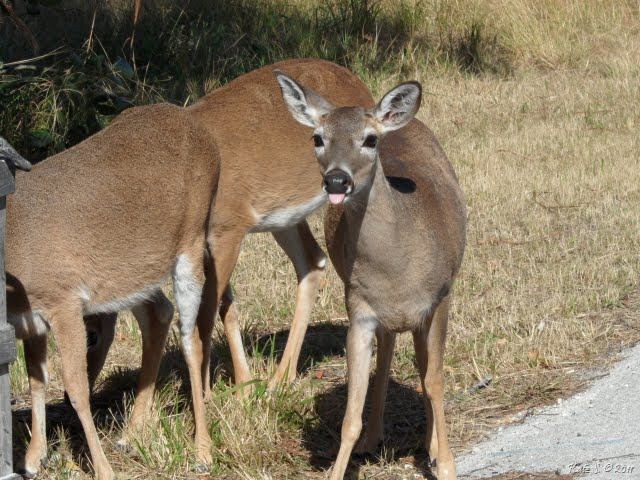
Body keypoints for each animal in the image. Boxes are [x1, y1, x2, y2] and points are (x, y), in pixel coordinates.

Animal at [4, 102, 221, 480]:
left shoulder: (63, 300)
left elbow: (76, 388)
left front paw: (103, 469)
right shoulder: (32, 320)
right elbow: (36, 379)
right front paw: (34, 458)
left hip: (191, 245)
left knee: (191, 339)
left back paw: (202, 450)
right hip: (133, 275)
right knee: (158, 314)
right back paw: (131, 434)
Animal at [276, 72, 467, 480]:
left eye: (369, 139)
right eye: (317, 137)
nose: (336, 180)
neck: (395, 267)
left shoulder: (439, 298)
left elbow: (435, 379)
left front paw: (445, 464)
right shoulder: (359, 310)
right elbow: (351, 412)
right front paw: (340, 466)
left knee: (422, 367)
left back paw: (429, 446)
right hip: (382, 316)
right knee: (388, 353)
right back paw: (373, 438)